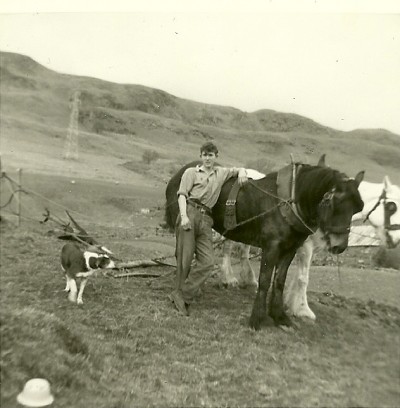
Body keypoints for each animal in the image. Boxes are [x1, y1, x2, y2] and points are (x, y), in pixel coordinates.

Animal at [164, 158, 364, 330]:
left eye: (358, 207)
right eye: (333, 202)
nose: (340, 246)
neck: (286, 203)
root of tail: (180, 173)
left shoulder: (289, 249)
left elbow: (279, 282)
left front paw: (280, 316)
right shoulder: (271, 248)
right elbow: (265, 281)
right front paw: (257, 318)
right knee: (182, 256)